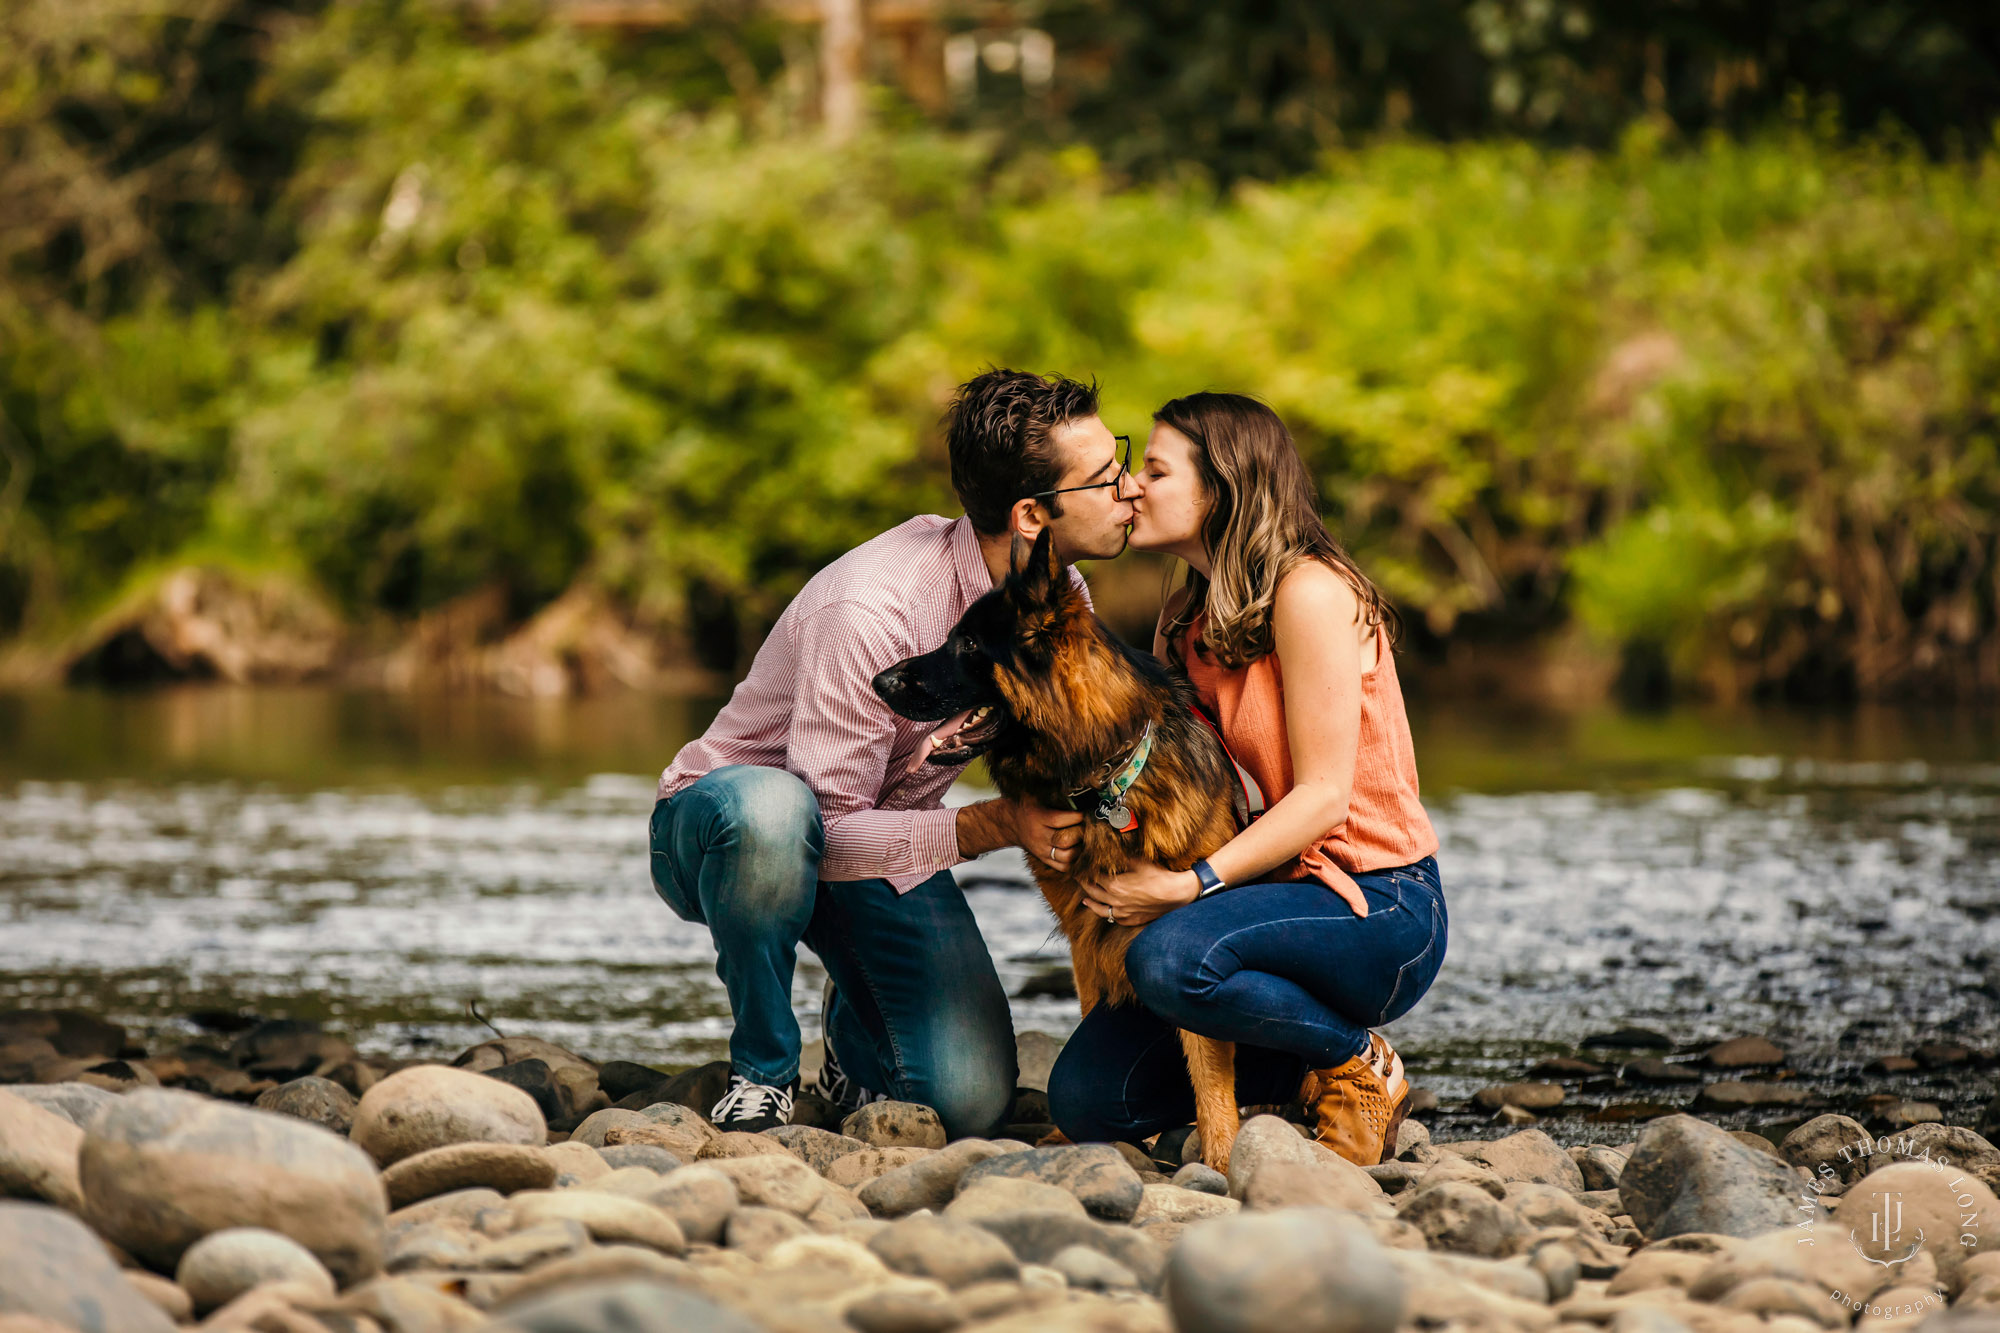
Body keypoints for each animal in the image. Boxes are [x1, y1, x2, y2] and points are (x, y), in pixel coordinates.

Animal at [872, 524, 1240, 1168]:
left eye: (969, 644)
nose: (879, 682)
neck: (1104, 778)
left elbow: (1208, 1061)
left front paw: (1221, 1159)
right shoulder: (1085, 934)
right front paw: (1076, 1141)